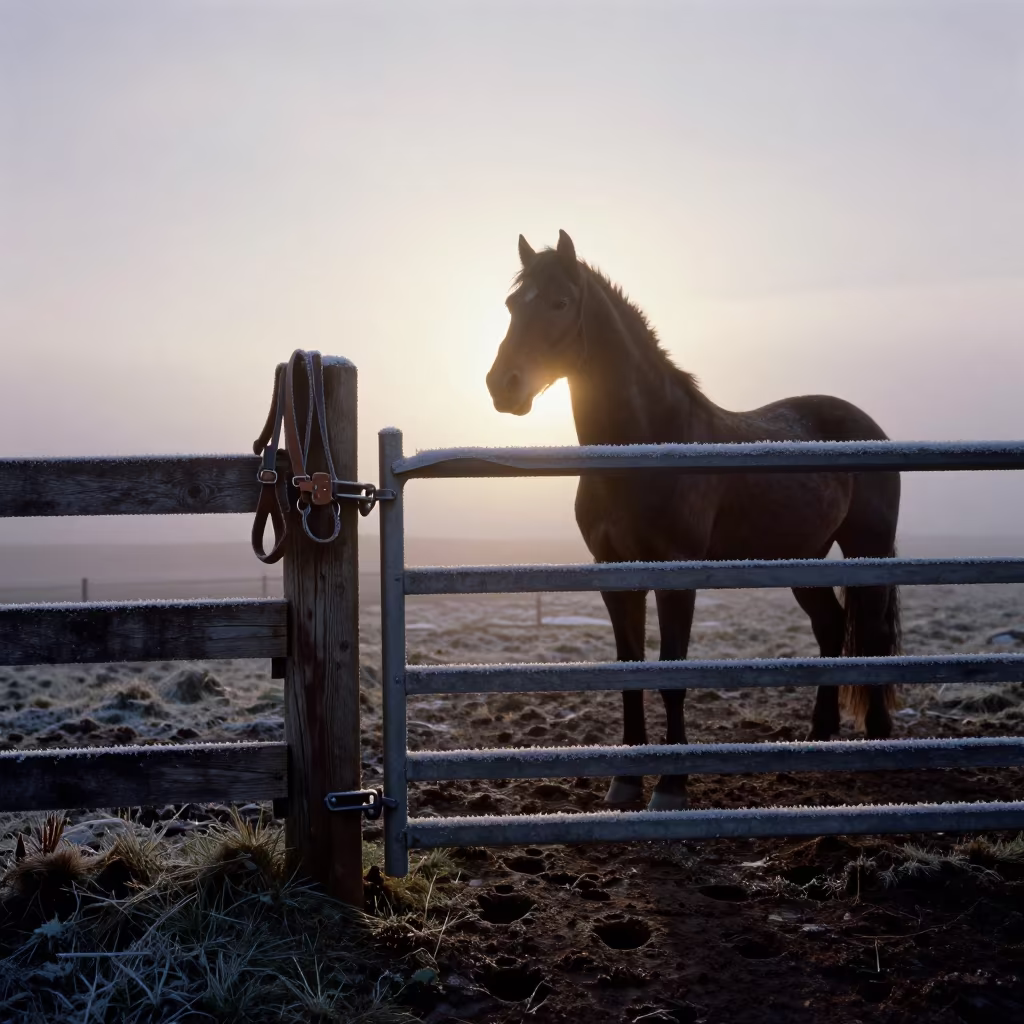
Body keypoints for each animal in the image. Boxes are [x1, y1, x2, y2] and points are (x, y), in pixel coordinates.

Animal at [485, 230, 900, 811]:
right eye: (510, 305)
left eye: (560, 303)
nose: (503, 386)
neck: (647, 445)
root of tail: (866, 425)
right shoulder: (615, 575)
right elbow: (630, 673)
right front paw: (626, 783)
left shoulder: (676, 575)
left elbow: (673, 676)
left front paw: (671, 787)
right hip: (802, 558)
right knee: (831, 627)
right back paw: (818, 736)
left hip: (869, 547)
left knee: (874, 633)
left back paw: (879, 738)